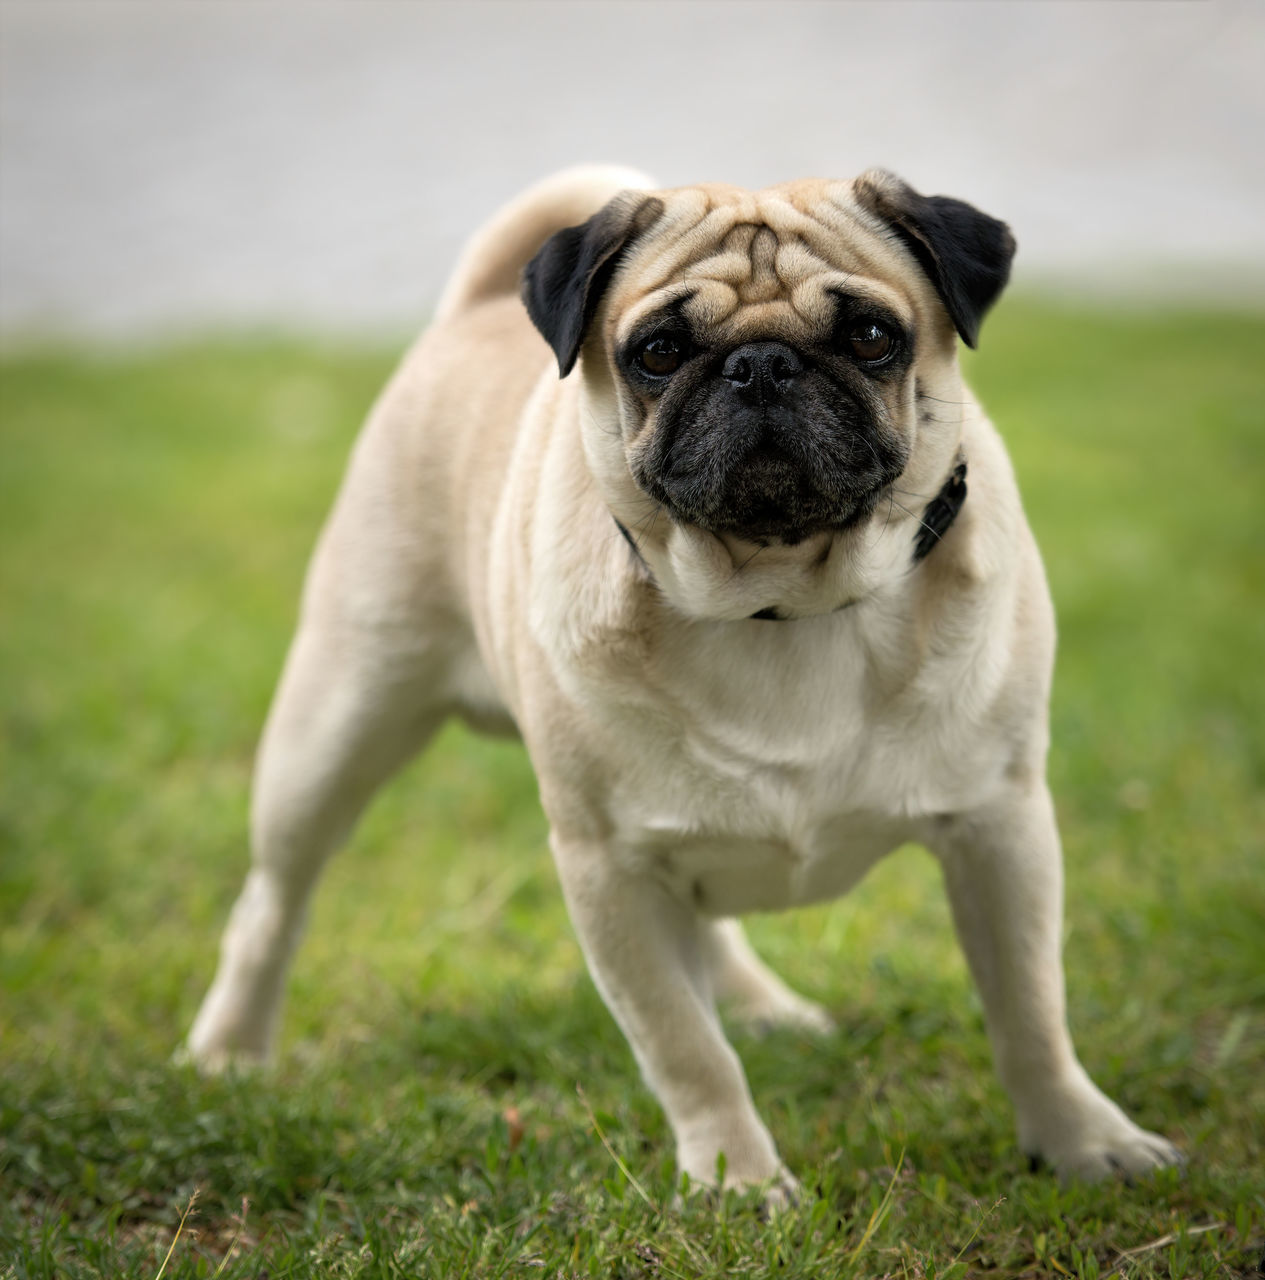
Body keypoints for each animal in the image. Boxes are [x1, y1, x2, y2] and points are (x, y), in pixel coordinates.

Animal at [185, 167, 1177, 1198]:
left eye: (871, 336)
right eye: (658, 354)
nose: (761, 365)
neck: (782, 602)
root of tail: (472, 312)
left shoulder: (999, 824)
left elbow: (1030, 1009)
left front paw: (1082, 1139)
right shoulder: (611, 868)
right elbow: (684, 1049)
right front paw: (737, 1182)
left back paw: (763, 1007)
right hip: (336, 726)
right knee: (271, 903)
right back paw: (229, 1053)